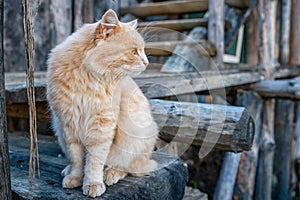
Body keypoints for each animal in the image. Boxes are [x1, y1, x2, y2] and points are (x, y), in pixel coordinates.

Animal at [46, 9, 158, 197]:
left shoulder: (102, 126)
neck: (87, 80)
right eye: (134, 51)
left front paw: (93, 183)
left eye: (142, 51)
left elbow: (94, 161)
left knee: (127, 167)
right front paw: (75, 177)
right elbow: (77, 159)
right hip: (59, 131)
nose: (146, 62)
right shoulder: (69, 124)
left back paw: (111, 174)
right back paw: (68, 169)